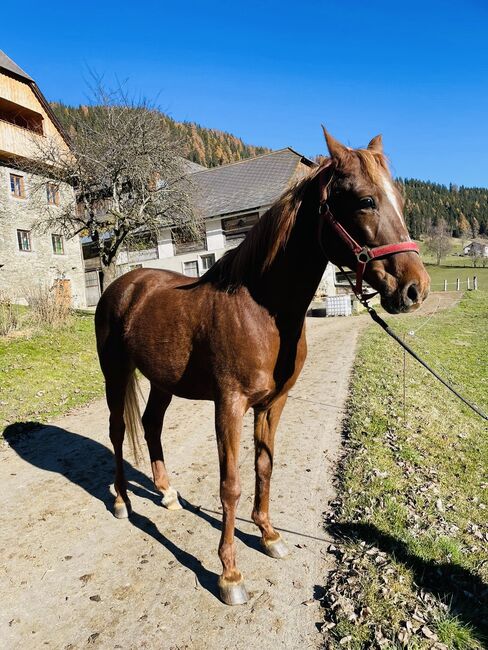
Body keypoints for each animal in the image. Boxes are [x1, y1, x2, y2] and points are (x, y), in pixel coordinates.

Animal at [93, 129, 428, 604]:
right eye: (365, 200)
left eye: (398, 198)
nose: (416, 288)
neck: (262, 308)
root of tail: (123, 286)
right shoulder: (229, 405)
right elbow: (230, 484)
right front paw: (229, 573)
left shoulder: (273, 403)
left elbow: (264, 466)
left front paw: (269, 535)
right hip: (116, 372)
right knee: (119, 431)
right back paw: (123, 501)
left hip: (162, 381)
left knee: (151, 424)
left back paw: (168, 493)